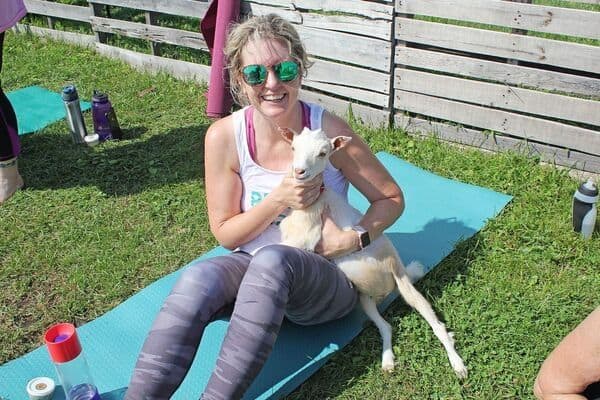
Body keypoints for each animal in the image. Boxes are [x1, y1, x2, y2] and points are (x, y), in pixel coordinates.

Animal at [278, 126, 466, 376]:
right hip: (364, 298)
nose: (300, 171)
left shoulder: (305, 239)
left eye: (323, 153)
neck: (311, 202)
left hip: (404, 284)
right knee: (386, 326)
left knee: (437, 325)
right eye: (293, 147)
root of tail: (389, 285)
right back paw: (388, 362)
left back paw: (458, 365)